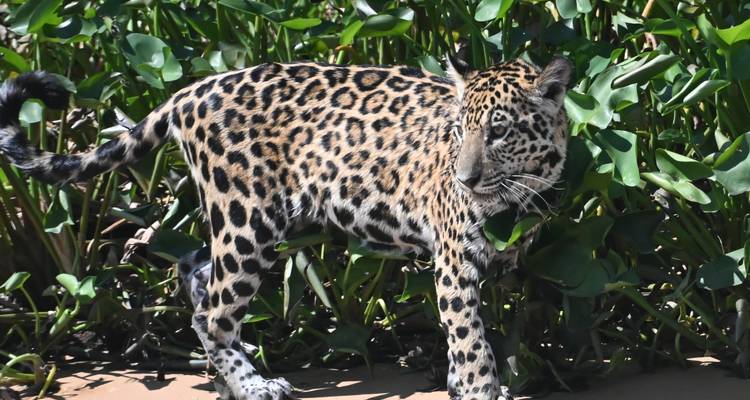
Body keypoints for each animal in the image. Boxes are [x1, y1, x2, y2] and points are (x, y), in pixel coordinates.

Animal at [0, 55, 571, 400]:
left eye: (498, 132)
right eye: (456, 132)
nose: (464, 178)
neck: (514, 198)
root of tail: (193, 89)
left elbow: (465, 336)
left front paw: (462, 382)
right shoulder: (454, 262)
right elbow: (471, 340)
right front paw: (478, 389)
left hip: (265, 223)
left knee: (194, 267)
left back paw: (228, 378)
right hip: (246, 220)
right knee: (212, 311)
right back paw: (254, 385)